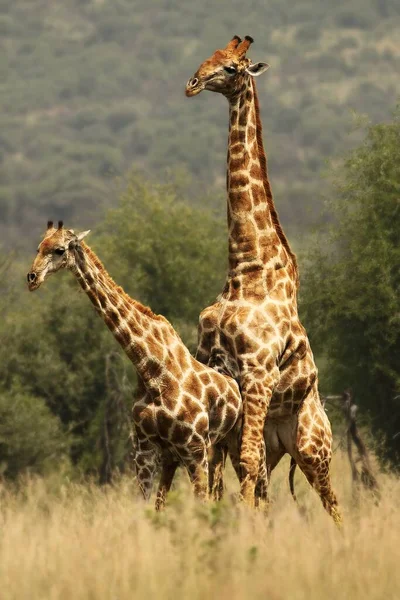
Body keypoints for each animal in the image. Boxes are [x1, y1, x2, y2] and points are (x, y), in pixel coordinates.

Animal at [25, 223, 247, 508]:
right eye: (38, 247)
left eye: (59, 249)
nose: (32, 278)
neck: (150, 369)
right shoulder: (145, 450)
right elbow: (147, 507)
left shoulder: (194, 448)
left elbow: (200, 503)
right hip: (199, 452)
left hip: (233, 441)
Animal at [186, 36, 342, 524]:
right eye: (209, 57)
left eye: (232, 68)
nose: (192, 84)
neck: (245, 268)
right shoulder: (217, 369)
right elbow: (225, 464)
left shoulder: (257, 374)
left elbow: (242, 461)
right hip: (280, 444)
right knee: (259, 474)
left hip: (313, 446)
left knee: (331, 500)